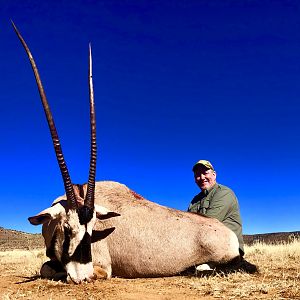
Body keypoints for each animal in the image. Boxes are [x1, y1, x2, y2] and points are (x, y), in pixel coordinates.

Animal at [12, 22, 240, 282]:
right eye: (68, 228)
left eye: (92, 229)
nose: (84, 277)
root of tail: (228, 233)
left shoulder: (102, 266)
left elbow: (48, 269)